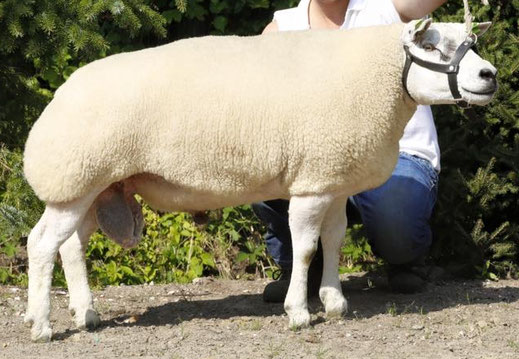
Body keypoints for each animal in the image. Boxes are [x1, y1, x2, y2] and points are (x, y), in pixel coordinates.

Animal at [22, 17, 498, 344]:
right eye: (432, 45)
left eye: (469, 43)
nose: (490, 76)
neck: (375, 78)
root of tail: (61, 92)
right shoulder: (311, 183)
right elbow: (305, 248)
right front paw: (299, 312)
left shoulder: (331, 178)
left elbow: (334, 242)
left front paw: (334, 302)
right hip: (75, 179)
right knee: (42, 244)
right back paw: (42, 325)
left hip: (95, 188)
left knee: (72, 247)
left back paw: (85, 314)